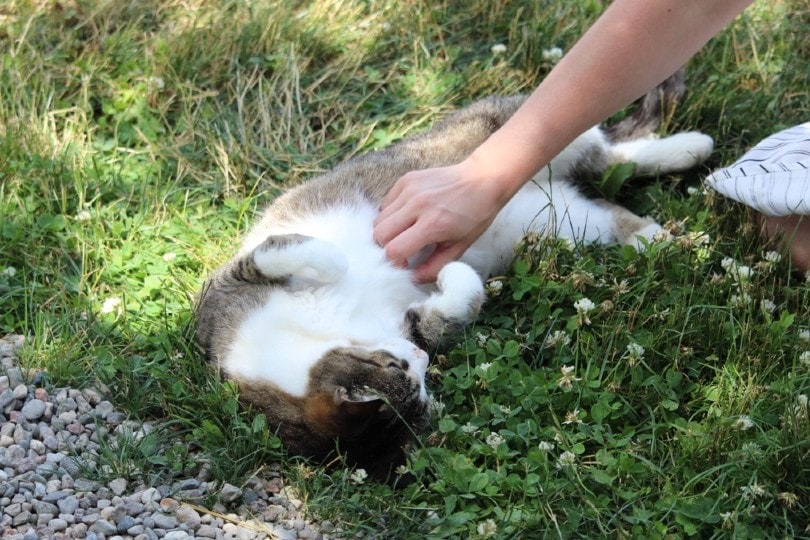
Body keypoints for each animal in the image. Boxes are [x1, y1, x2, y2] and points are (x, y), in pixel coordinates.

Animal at [197, 73, 712, 480]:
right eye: (413, 380)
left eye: (394, 367)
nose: (421, 360)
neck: (320, 332)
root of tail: (548, 185)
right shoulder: (408, 325)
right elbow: (451, 310)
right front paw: (453, 275)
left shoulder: (228, 285)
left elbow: (278, 251)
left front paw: (338, 260)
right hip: (567, 222)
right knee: (613, 187)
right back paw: (665, 234)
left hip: (514, 128)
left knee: (604, 147)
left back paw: (689, 150)